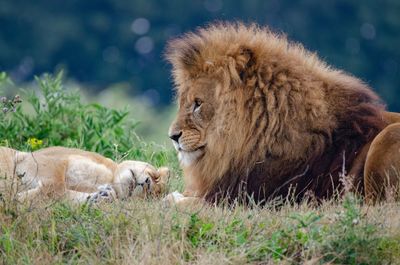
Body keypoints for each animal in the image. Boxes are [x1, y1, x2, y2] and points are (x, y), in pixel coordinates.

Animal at [0, 145, 170, 203]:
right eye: (155, 177)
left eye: (149, 196)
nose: (147, 184)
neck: (110, 177)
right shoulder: (46, 159)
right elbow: (56, 186)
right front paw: (16, 198)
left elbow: (60, 194)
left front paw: (102, 196)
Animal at [164, 22, 400, 204]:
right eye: (183, 102)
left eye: (198, 103)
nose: (173, 136)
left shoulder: (245, 198)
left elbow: (180, 203)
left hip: (386, 138)